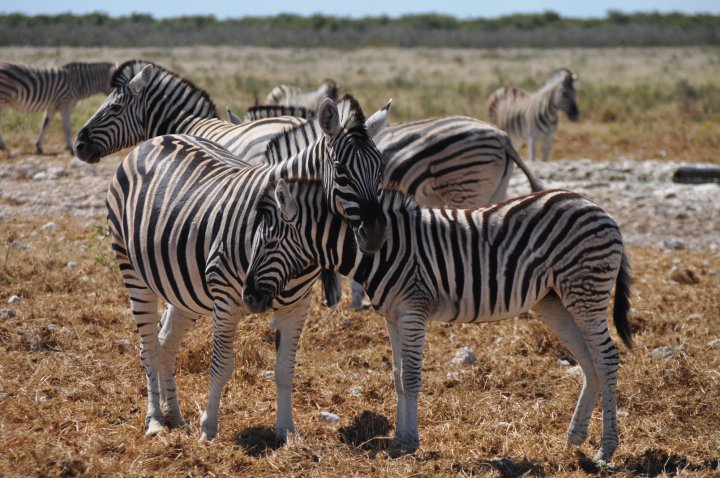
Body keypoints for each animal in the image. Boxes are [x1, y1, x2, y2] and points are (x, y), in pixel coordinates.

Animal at [107, 94, 388, 444]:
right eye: (340, 170)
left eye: (381, 168)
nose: (375, 235)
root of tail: (157, 139)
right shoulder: (228, 301)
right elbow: (221, 365)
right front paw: (209, 428)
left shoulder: (298, 307)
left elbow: (285, 369)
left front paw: (286, 430)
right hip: (134, 272)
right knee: (148, 346)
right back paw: (156, 420)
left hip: (183, 289)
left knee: (166, 341)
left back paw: (175, 416)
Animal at [245, 178, 632, 464]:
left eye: (271, 243)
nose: (249, 298)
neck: (381, 249)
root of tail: (597, 207)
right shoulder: (393, 316)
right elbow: (398, 377)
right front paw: (399, 440)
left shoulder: (413, 310)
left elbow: (413, 378)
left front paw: (411, 442)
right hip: (553, 301)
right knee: (589, 361)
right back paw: (575, 438)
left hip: (585, 293)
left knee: (607, 358)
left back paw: (606, 449)